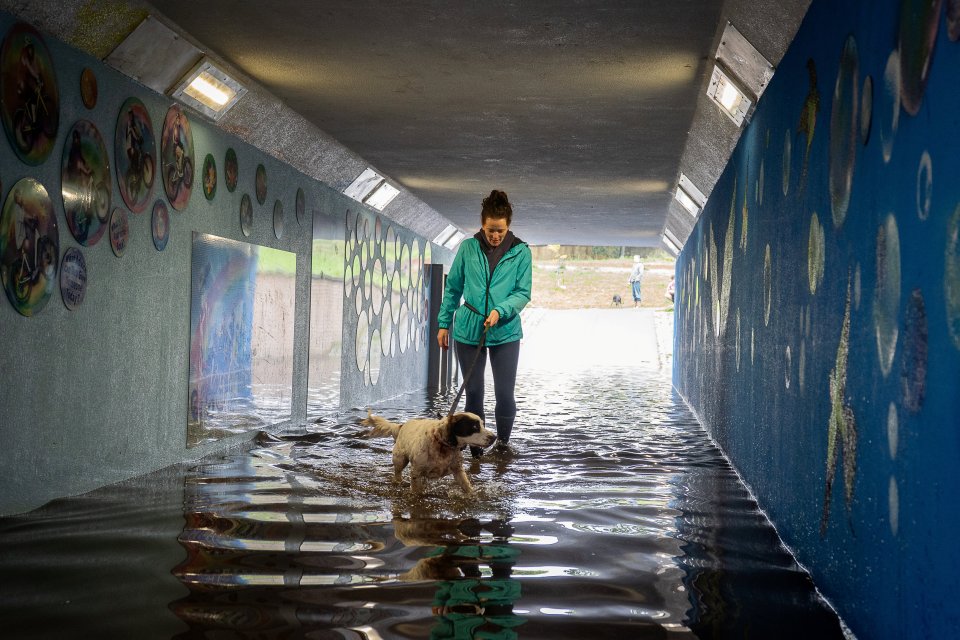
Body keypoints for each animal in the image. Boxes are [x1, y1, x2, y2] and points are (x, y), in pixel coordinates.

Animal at [360, 410, 496, 496]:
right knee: (397, 473)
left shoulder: (458, 470)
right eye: (474, 427)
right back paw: (398, 482)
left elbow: (467, 487)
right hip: (399, 460)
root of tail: (401, 425)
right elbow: (416, 491)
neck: (441, 444)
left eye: (482, 424)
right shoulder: (416, 472)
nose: (494, 437)